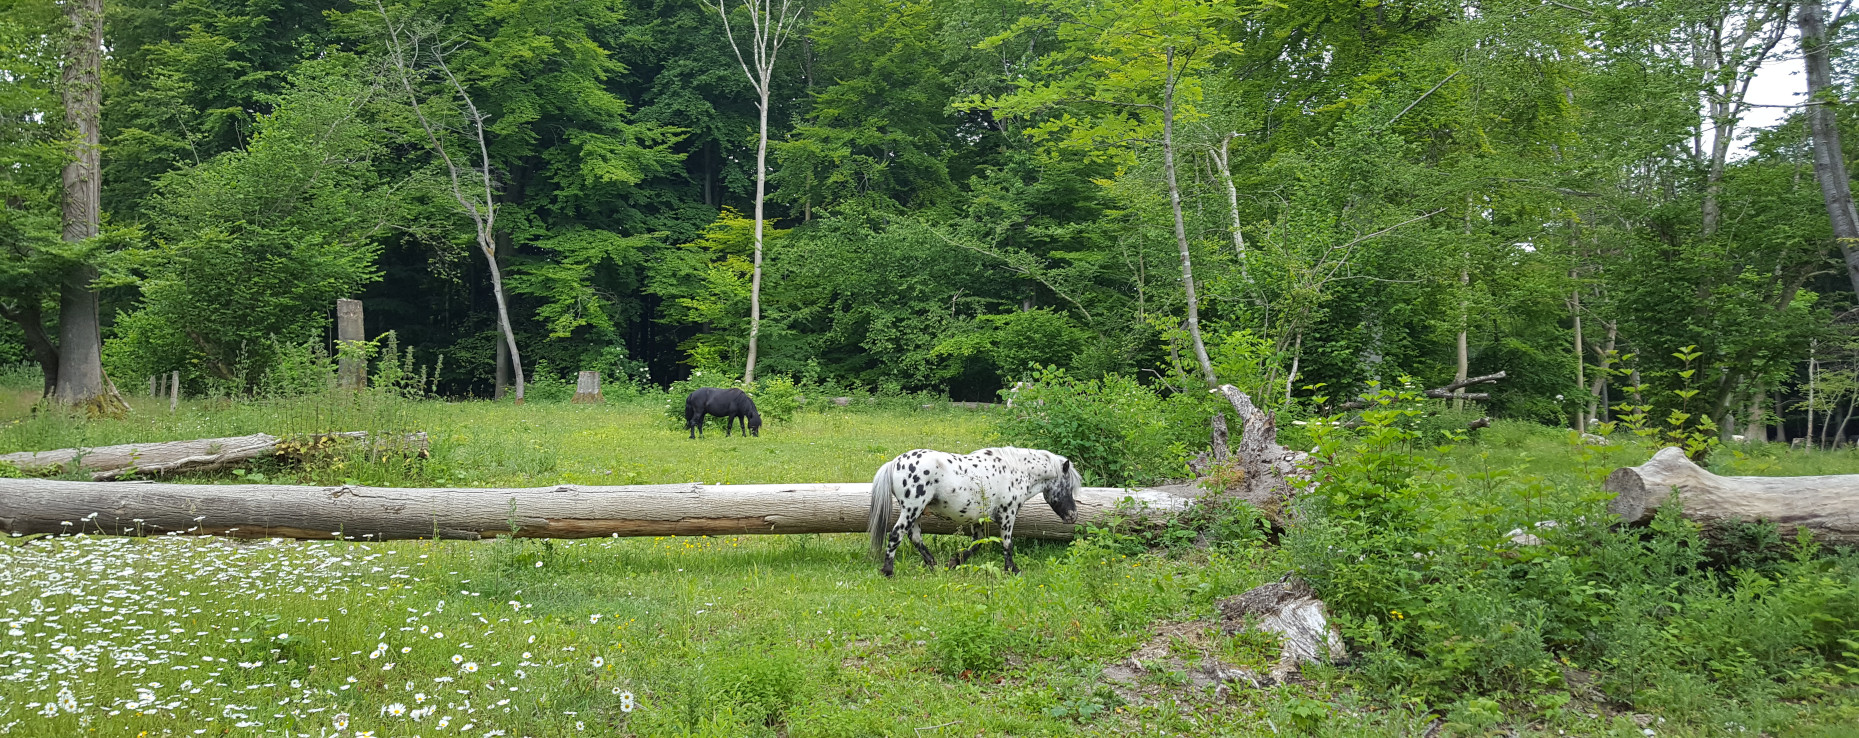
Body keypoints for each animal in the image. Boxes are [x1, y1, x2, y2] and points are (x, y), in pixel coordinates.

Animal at [866, 442, 1085, 576]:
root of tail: (894, 463)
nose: (1073, 516)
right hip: (912, 509)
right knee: (896, 535)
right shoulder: (1008, 515)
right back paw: (888, 571)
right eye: (1068, 487)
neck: (1015, 470)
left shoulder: (978, 519)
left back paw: (933, 564)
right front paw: (1012, 570)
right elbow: (1007, 544)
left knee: (915, 537)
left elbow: (976, 543)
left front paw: (954, 561)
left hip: (916, 513)